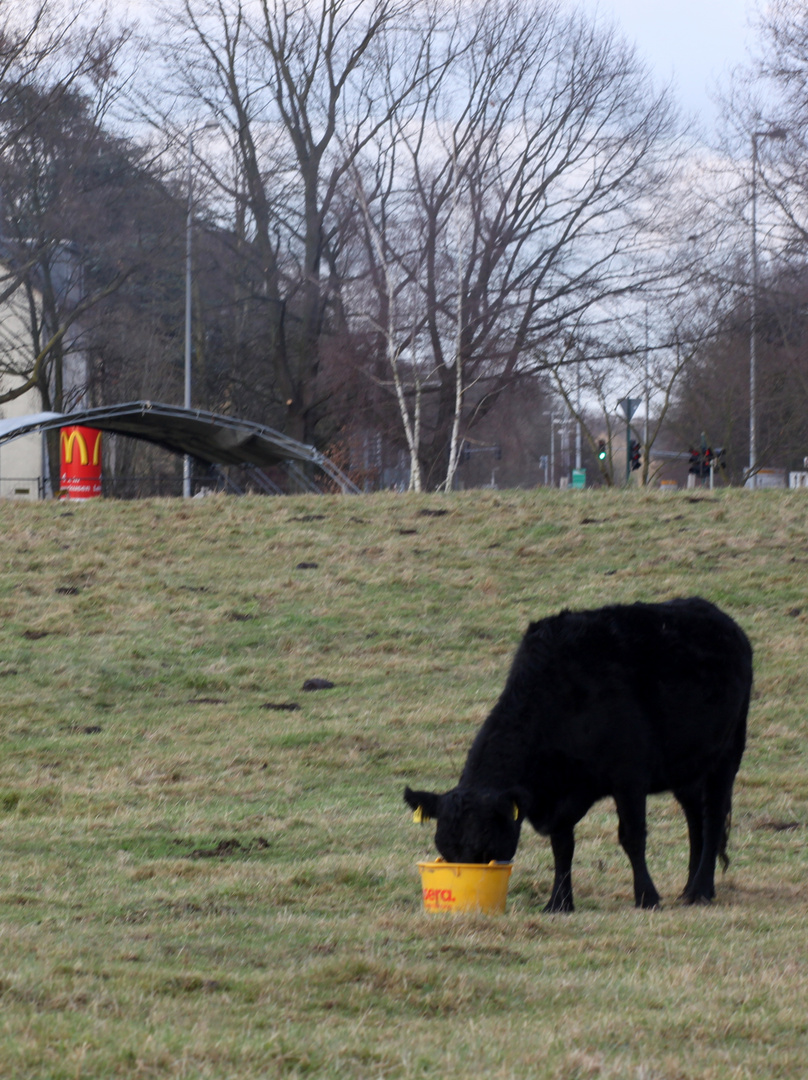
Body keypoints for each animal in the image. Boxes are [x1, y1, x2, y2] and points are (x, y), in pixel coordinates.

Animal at [404, 600, 751, 911]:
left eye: (484, 839)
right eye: (443, 843)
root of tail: (718, 616)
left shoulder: (629, 777)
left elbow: (632, 837)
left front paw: (646, 897)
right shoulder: (560, 797)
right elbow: (562, 847)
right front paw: (559, 902)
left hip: (727, 753)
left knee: (713, 817)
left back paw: (701, 890)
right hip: (687, 768)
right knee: (695, 818)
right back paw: (690, 888)